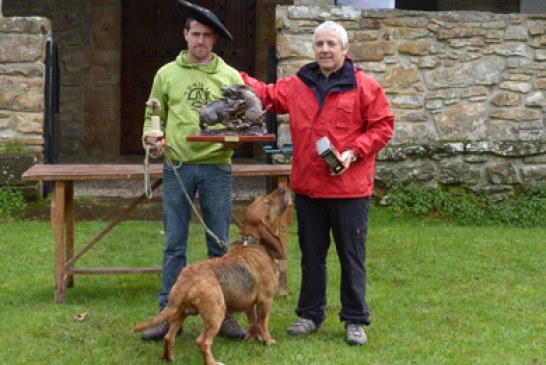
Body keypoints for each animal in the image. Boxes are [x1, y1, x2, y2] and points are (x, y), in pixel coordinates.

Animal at [131, 188, 286, 364]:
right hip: (216, 313)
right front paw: (268, 341)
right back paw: (213, 362)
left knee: (169, 337)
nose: (282, 189)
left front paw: (251, 340)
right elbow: (263, 324)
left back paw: (168, 358)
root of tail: (186, 279)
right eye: (269, 203)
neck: (253, 243)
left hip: (179, 313)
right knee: (202, 341)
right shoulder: (265, 300)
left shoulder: (249, 304)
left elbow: (254, 323)